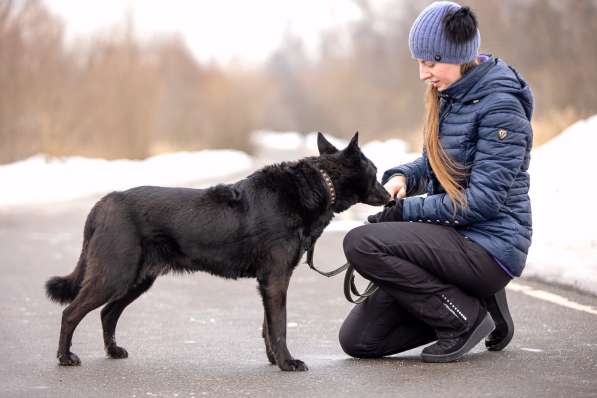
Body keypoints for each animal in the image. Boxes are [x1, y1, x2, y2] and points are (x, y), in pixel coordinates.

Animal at [47, 133, 392, 370]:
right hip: (115, 275)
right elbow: (278, 326)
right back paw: (65, 356)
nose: (391, 196)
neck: (318, 185)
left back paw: (113, 351)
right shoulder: (276, 279)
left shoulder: (269, 281)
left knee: (107, 313)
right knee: (71, 312)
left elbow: (268, 327)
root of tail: (105, 202)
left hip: (137, 279)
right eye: (375, 171)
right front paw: (287, 363)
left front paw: (274, 360)